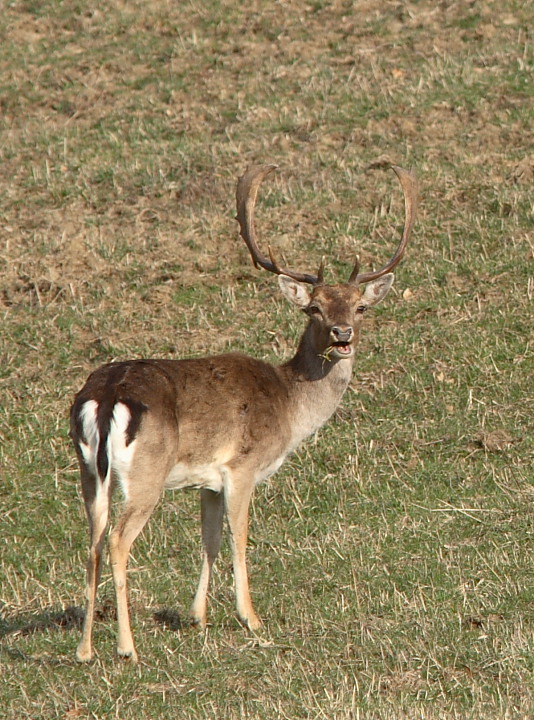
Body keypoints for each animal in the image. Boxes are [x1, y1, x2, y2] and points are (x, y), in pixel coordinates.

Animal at [70, 160, 418, 660]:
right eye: (313, 308)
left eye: (361, 306)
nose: (342, 333)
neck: (290, 408)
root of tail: (105, 397)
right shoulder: (243, 467)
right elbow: (240, 537)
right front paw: (251, 619)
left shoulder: (207, 481)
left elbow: (210, 540)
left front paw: (198, 616)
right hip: (146, 473)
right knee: (117, 540)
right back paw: (126, 647)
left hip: (88, 470)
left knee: (93, 540)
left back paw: (85, 649)